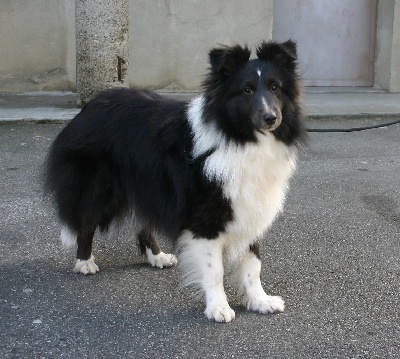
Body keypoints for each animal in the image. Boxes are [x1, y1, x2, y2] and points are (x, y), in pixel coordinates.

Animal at [43, 40, 304, 324]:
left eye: (275, 87)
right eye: (246, 90)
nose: (270, 118)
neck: (239, 137)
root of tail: (90, 106)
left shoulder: (249, 205)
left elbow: (253, 263)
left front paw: (260, 301)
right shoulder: (206, 217)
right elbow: (214, 269)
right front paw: (218, 308)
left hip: (148, 185)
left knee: (145, 221)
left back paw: (157, 257)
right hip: (101, 186)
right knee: (87, 220)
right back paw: (84, 262)